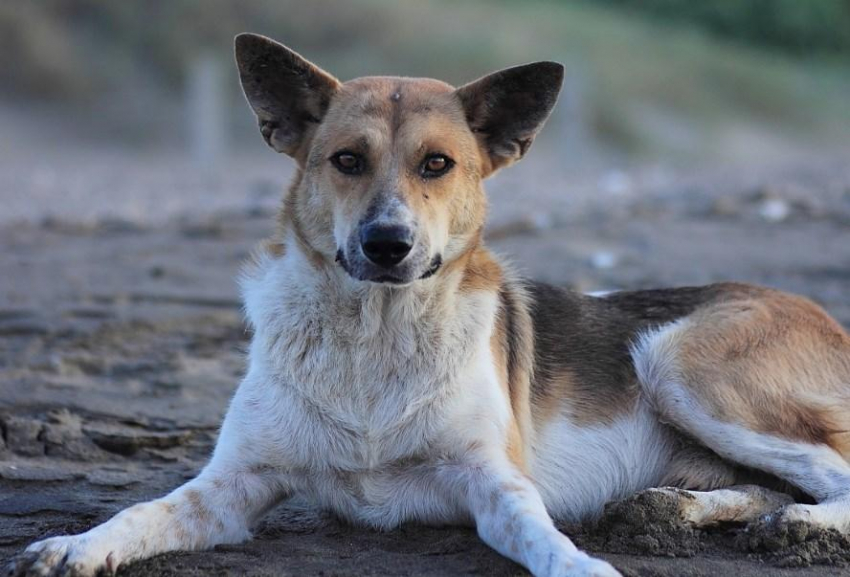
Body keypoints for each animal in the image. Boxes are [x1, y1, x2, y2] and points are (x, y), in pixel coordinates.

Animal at [9, 32, 848, 576]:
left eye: (437, 164)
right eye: (347, 161)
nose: (388, 243)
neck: (374, 337)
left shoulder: (495, 481)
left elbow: (543, 539)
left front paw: (586, 565)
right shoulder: (232, 487)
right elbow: (145, 512)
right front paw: (76, 544)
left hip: (676, 361)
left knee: (830, 469)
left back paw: (796, 524)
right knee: (772, 481)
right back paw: (678, 510)